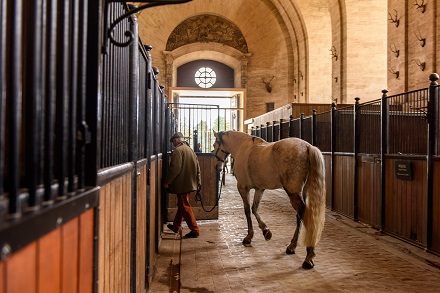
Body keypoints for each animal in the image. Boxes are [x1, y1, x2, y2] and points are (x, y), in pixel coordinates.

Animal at [213, 130, 326, 270]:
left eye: (214, 145)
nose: (217, 167)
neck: (243, 147)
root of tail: (307, 147)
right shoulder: (259, 189)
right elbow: (254, 209)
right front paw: (266, 231)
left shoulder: (243, 189)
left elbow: (247, 211)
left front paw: (248, 237)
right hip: (303, 192)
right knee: (300, 216)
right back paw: (292, 247)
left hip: (293, 193)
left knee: (302, 214)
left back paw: (308, 257)